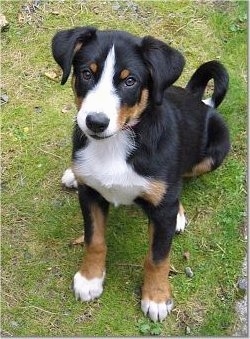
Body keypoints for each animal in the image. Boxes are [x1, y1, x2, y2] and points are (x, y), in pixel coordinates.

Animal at [51, 25, 229, 322]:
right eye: (86, 73)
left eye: (130, 81)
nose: (95, 123)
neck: (116, 142)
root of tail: (197, 99)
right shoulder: (90, 195)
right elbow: (94, 240)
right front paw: (90, 279)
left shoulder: (161, 212)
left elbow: (157, 257)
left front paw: (156, 298)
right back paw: (72, 175)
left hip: (217, 149)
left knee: (181, 179)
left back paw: (178, 213)